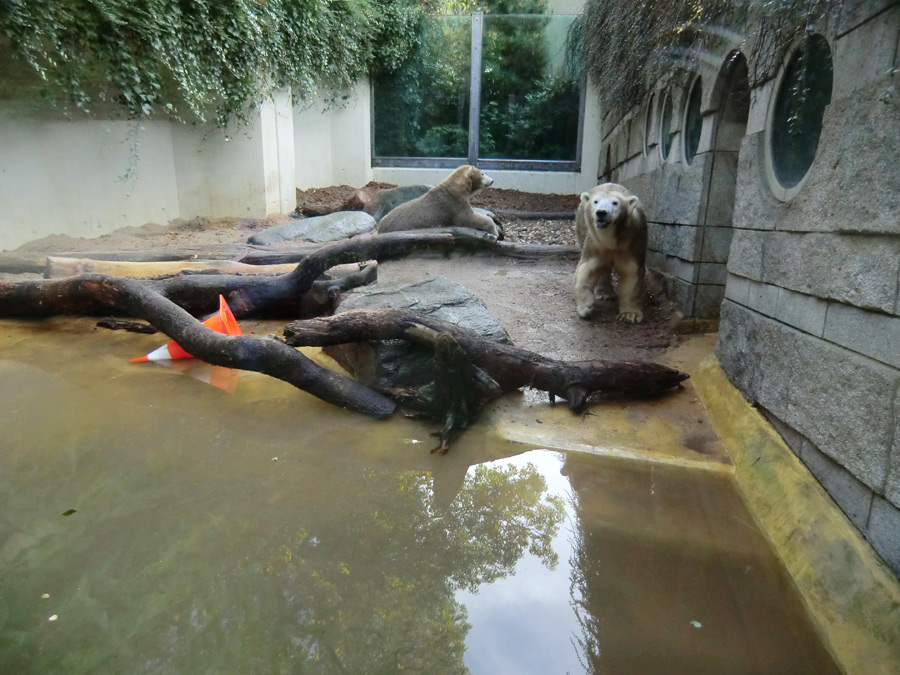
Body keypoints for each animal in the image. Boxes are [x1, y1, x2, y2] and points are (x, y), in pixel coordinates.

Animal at [372, 164, 500, 236]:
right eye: (482, 173)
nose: (492, 180)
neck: (456, 188)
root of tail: (380, 227)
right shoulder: (454, 203)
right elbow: (468, 218)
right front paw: (495, 231)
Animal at [576, 184, 648, 324]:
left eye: (615, 202)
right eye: (595, 201)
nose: (601, 212)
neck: (611, 241)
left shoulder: (633, 239)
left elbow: (632, 273)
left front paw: (630, 314)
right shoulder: (595, 243)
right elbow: (587, 269)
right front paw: (585, 308)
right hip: (582, 228)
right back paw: (605, 293)